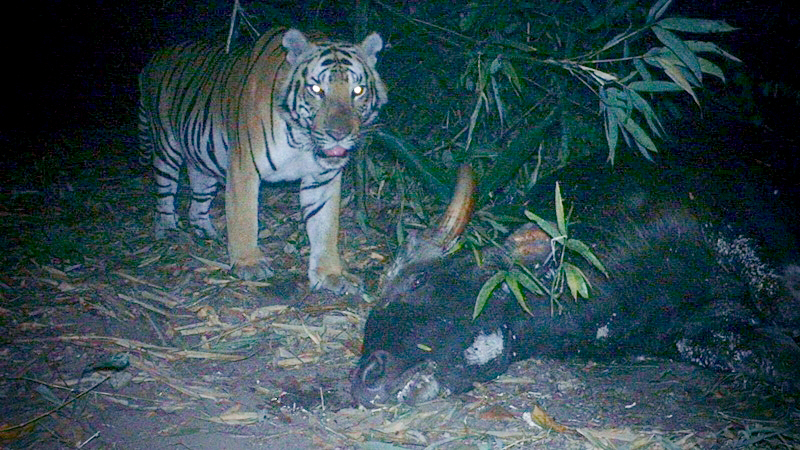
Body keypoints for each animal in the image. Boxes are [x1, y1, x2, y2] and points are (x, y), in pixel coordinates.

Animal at [138, 27, 387, 294]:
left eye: (358, 91)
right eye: (316, 90)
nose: (338, 135)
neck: (302, 140)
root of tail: (154, 58)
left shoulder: (322, 179)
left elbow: (325, 228)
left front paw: (331, 274)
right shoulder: (243, 169)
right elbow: (245, 218)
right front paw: (249, 263)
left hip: (202, 162)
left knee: (197, 204)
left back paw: (206, 233)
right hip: (166, 147)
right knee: (164, 195)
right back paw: (168, 231)